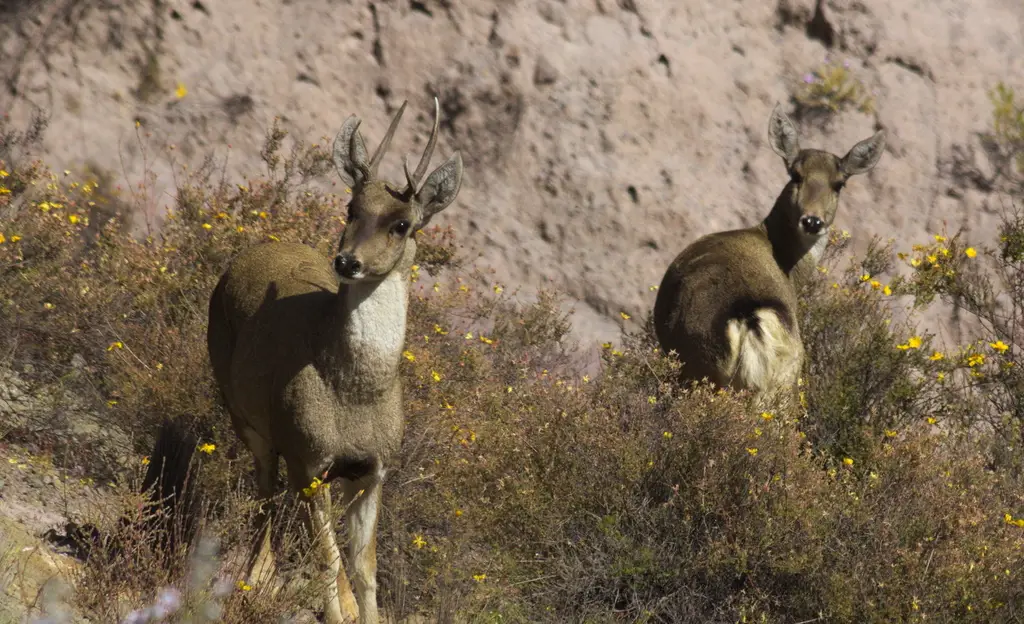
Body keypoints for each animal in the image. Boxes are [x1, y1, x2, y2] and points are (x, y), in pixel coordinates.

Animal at [206, 97, 463, 624]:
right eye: (351, 208)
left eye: (402, 224)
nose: (347, 262)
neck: (354, 391)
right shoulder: (310, 459)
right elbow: (327, 557)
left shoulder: (373, 469)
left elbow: (365, 568)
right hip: (245, 415)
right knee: (265, 491)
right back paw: (253, 579)